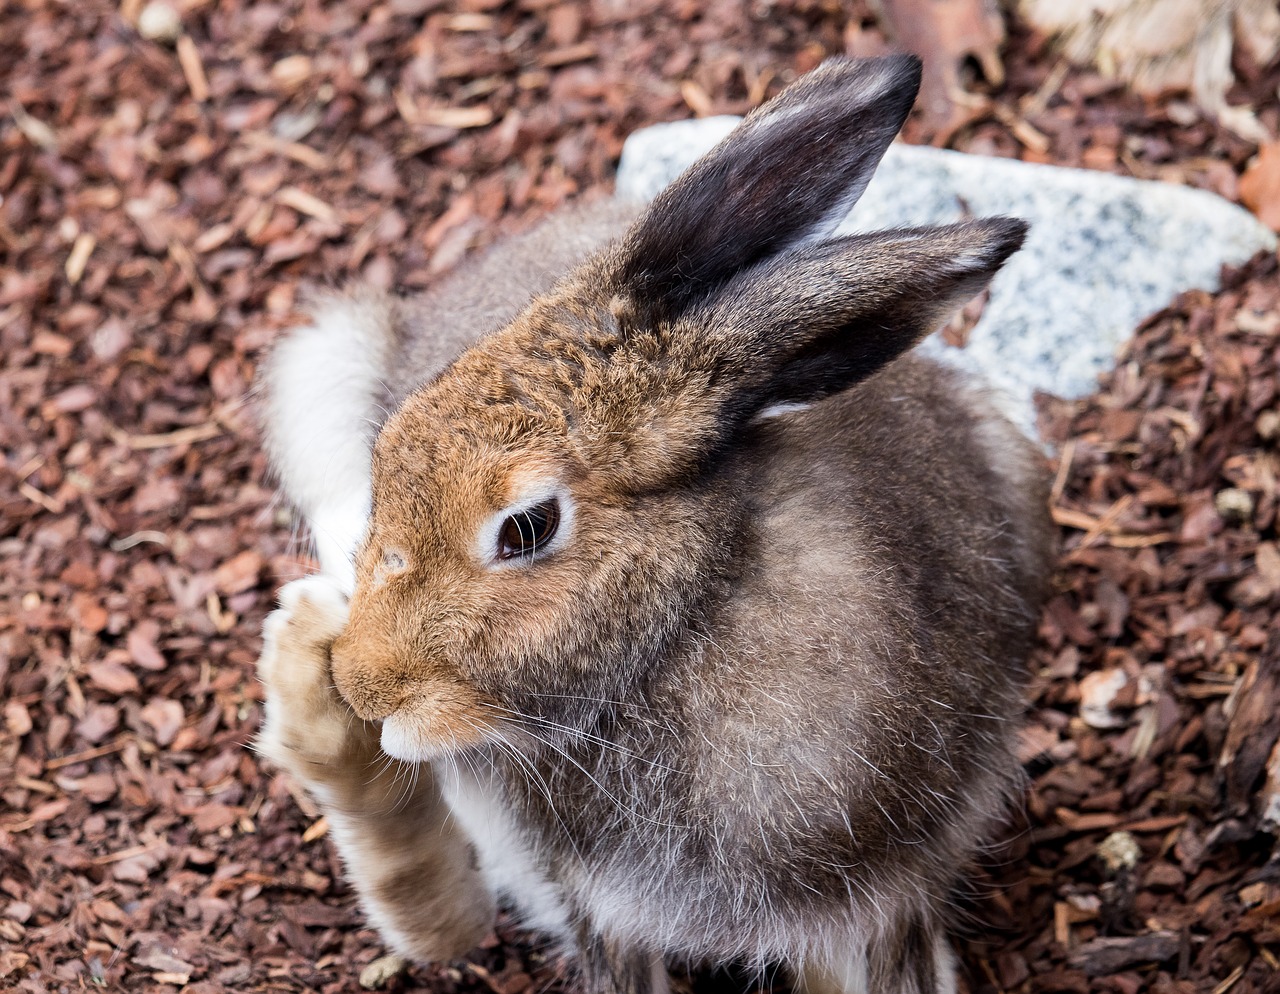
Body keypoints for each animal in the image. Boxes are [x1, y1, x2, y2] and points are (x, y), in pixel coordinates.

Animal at [254, 54, 1054, 992]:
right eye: (389, 457)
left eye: (525, 528)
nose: (368, 684)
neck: (690, 619)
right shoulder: (598, 901)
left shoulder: (879, 902)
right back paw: (305, 672)